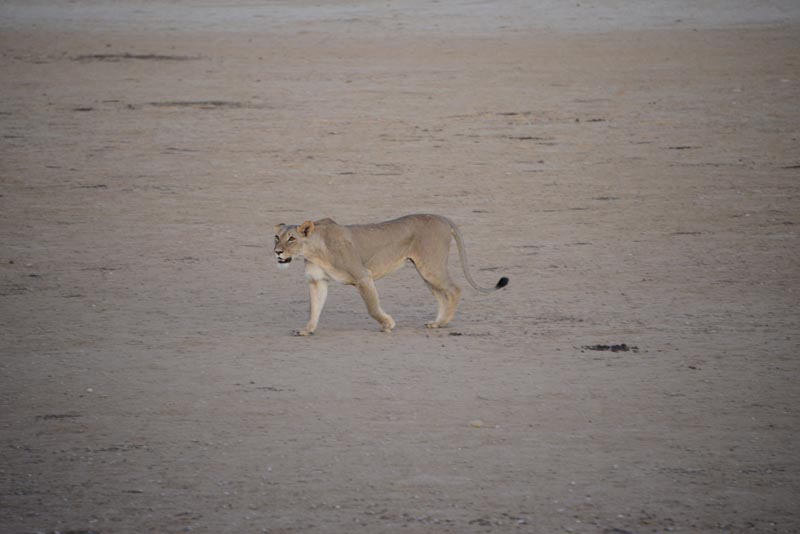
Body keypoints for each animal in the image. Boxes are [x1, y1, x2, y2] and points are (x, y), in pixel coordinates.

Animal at [273, 214, 509, 335]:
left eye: (292, 239)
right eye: (277, 237)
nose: (277, 252)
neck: (314, 251)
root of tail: (442, 218)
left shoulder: (363, 276)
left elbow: (372, 307)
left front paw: (387, 324)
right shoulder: (317, 281)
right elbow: (315, 307)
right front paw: (307, 329)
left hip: (431, 266)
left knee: (454, 289)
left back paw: (441, 323)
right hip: (425, 270)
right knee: (443, 295)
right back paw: (437, 322)